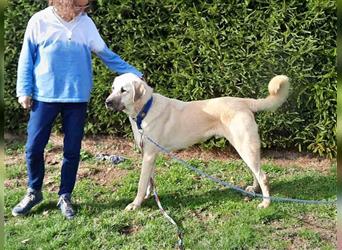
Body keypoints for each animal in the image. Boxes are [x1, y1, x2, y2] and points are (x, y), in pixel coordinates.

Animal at [105, 73, 290, 210]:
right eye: (113, 88)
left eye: (124, 90)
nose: (107, 102)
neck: (145, 109)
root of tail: (242, 101)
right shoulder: (148, 154)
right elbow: (149, 180)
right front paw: (148, 196)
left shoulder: (150, 155)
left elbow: (141, 182)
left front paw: (136, 204)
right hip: (244, 148)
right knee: (256, 171)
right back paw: (254, 190)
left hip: (244, 146)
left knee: (263, 176)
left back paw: (266, 202)